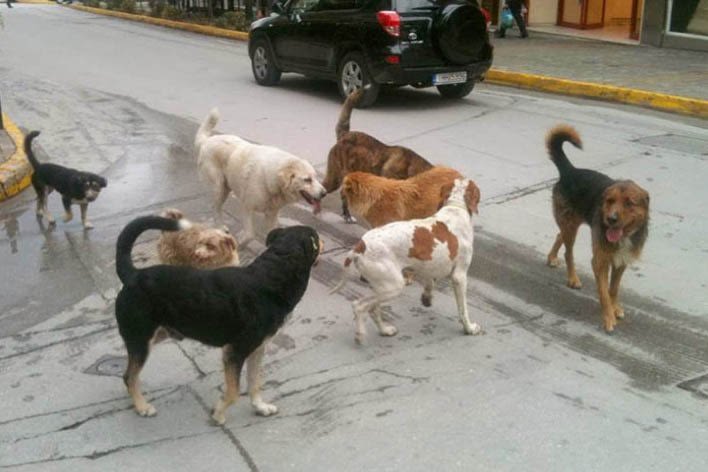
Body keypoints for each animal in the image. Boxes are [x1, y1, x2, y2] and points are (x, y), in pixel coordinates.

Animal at [115, 216, 322, 425]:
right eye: (317, 237)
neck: (274, 271)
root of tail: (134, 274)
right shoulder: (234, 352)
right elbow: (234, 392)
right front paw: (218, 415)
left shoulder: (257, 349)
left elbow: (254, 383)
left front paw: (260, 407)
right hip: (141, 340)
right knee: (130, 376)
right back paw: (142, 406)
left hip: (155, 335)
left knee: (127, 375)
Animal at [194, 109, 327, 246]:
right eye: (307, 180)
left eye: (315, 178)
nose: (324, 193)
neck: (272, 180)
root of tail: (207, 141)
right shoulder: (246, 207)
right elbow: (250, 234)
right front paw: (241, 242)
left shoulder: (272, 215)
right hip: (219, 187)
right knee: (215, 207)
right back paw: (220, 227)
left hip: (225, 188)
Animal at [330, 178, 481, 344]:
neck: (455, 207)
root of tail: (359, 247)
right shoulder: (459, 277)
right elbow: (463, 309)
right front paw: (469, 328)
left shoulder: (429, 267)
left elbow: (430, 283)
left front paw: (426, 298)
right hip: (393, 287)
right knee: (359, 305)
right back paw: (360, 334)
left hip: (382, 287)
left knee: (373, 309)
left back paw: (385, 330)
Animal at [545, 125, 650, 332]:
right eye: (609, 200)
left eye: (630, 203)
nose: (611, 219)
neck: (623, 236)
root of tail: (571, 171)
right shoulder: (600, 260)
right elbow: (603, 292)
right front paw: (608, 317)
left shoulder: (622, 261)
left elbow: (613, 289)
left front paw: (615, 307)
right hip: (570, 225)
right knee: (568, 252)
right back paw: (572, 278)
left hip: (571, 224)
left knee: (560, 234)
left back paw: (552, 258)